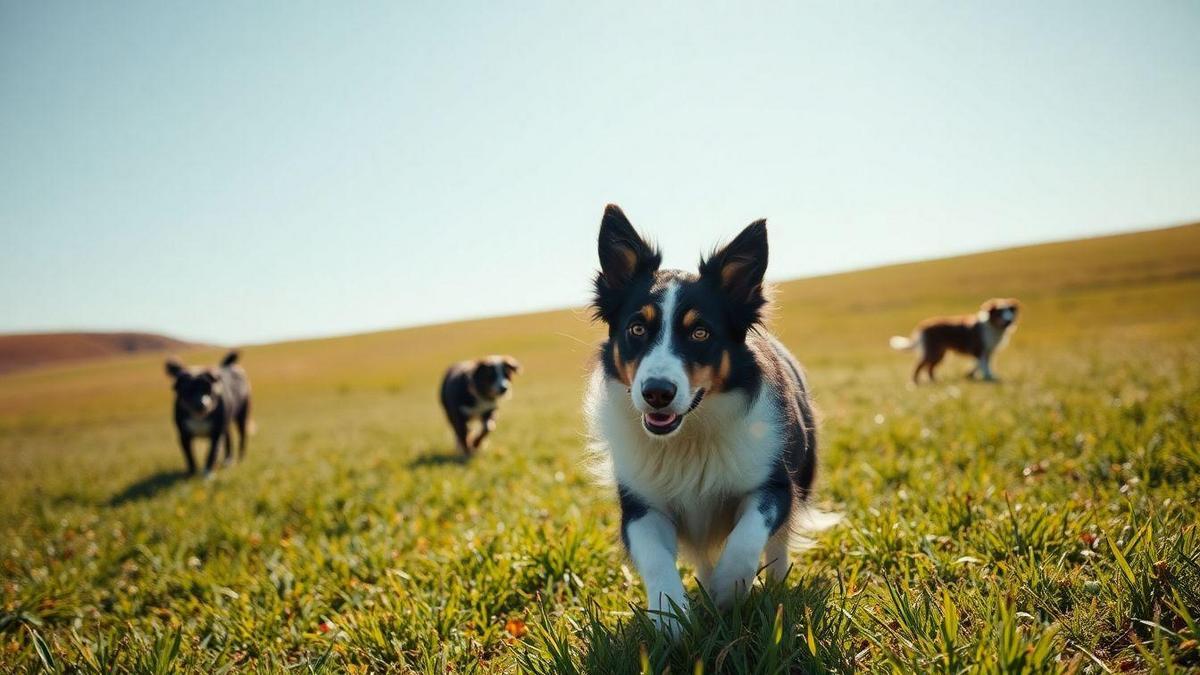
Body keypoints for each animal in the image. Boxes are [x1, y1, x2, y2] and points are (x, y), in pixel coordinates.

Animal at [583, 201, 835, 634]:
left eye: (700, 333)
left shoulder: (774, 483)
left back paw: (774, 583)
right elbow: (655, 557)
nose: (657, 393)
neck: (689, 436)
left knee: (778, 542)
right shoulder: (640, 504)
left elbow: (747, 538)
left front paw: (728, 590)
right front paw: (671, 616)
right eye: (637, 328)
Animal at [892, 295, 1022, 381]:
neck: (992, 326)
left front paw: (984, 375)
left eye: (1010, 311)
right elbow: (983, 365)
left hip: (939, 353)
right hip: (933, 351)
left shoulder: (988, 351)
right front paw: (986, 377)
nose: (1009, 321)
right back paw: (915, 382)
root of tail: (921, 326)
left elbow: (985, 364)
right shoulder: (979, 349)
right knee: (919, 366)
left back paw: (934, 380)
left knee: (929, 368)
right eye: (1000, 312)